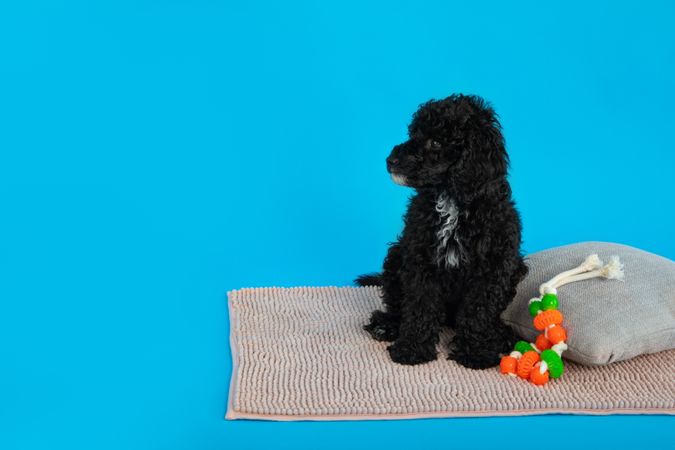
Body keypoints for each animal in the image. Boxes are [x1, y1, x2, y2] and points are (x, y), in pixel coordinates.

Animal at [356, 94, 532, 370]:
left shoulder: (492, 267)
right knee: (397, 305)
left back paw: (500, 334)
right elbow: (420, 306)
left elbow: (479, 311)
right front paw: (412, 349)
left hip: (516, 268)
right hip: (396, 256)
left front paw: (476, 352)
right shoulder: (420, 259)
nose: (390, 160)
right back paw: (386, 325)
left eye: (436, 142)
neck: (452, 201)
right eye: (413, 133)